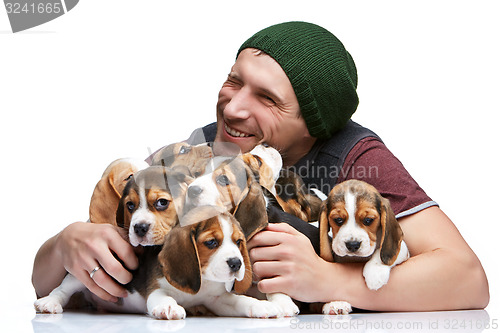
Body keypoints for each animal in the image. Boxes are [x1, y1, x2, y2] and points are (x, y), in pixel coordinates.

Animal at [318, 179, 408, 314]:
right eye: (338, 220)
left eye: (368, 220)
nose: (352, 245)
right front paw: (336, 302)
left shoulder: (404, 248)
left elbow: (381, 252)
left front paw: (375, 272)